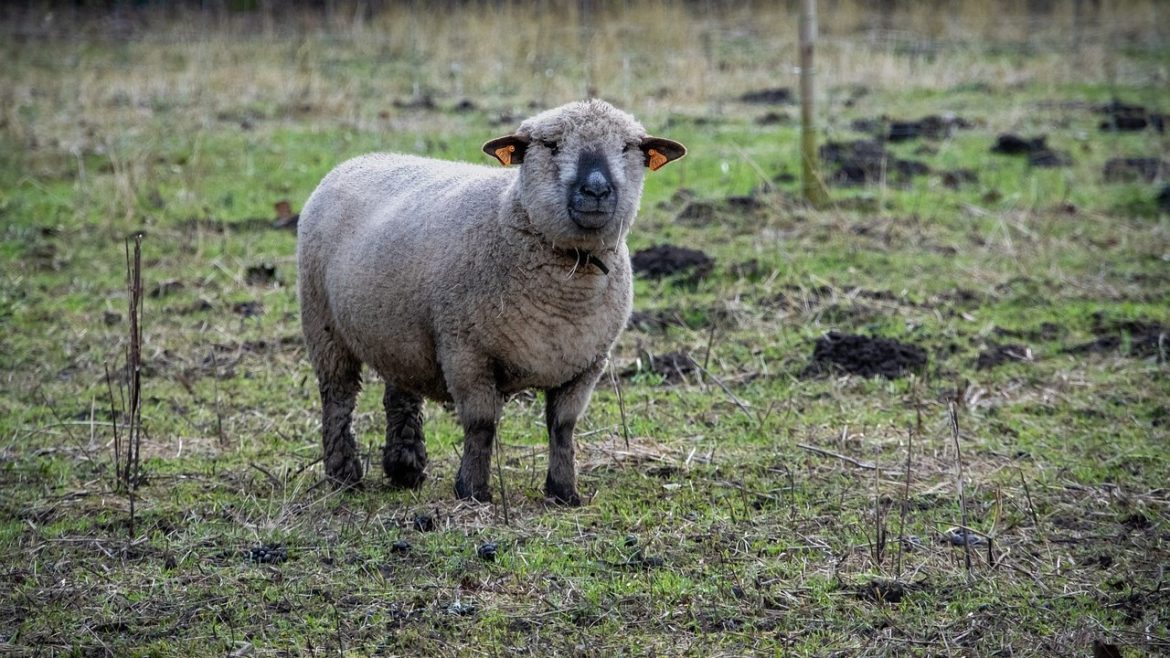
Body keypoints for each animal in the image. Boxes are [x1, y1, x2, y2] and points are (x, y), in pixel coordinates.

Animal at [296, 99, 686, 505]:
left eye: (627, 148)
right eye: (551, 145)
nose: (596, 189)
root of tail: (360, 159)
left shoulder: (586, 363)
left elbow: (563, 427)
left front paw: (564, 492)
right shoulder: (467, 353)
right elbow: (481, 425)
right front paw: (473, 491)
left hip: (399, 331)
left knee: (400, 393)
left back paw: (405, 467)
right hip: (323, 324)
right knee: (338, 398)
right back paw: (344, 474)